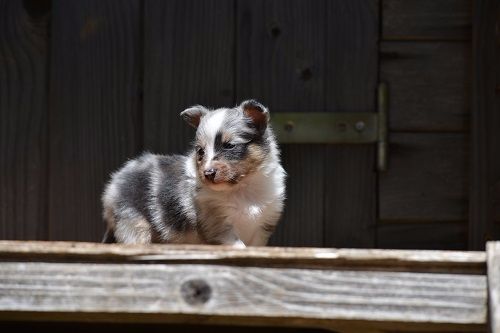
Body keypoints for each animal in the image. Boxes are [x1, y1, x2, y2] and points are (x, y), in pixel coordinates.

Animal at [101, 100, 286, 248]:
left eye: (229, 146)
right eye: (200, 151)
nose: (208, 173)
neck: (242, 188)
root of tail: (114, 183)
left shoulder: (262, 227)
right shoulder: (218, 226)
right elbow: (239, 246)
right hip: (134, 223)